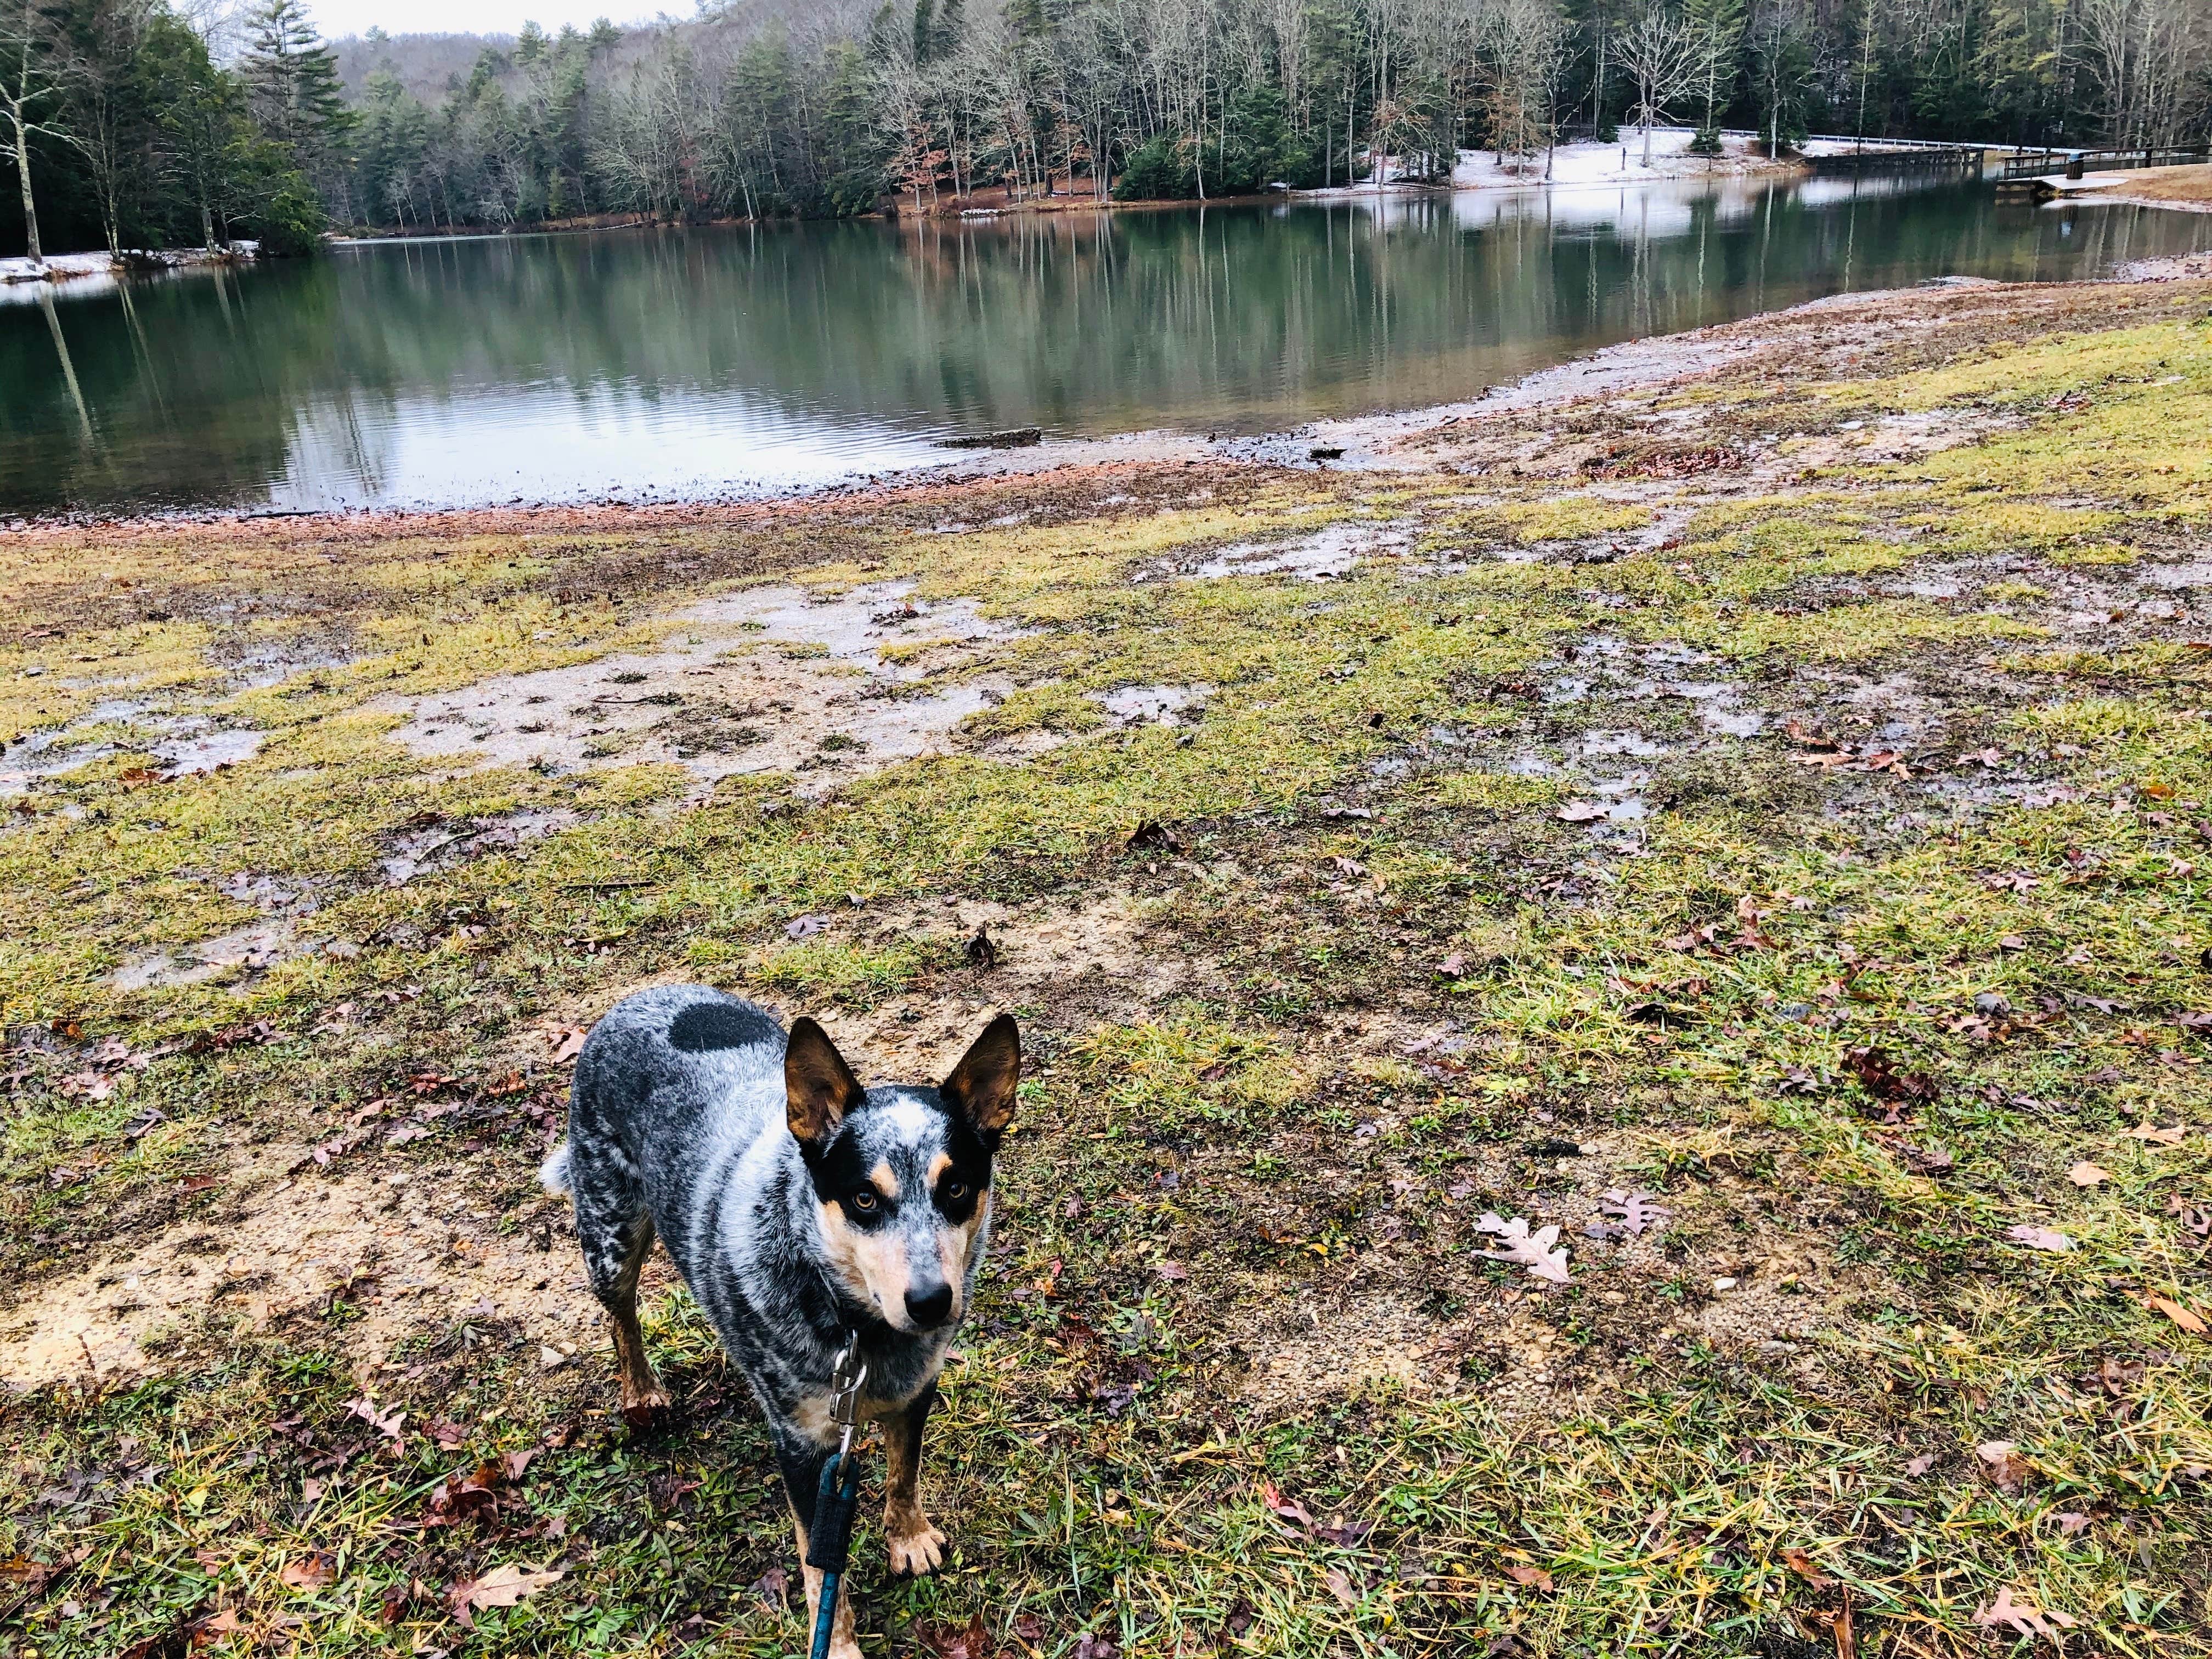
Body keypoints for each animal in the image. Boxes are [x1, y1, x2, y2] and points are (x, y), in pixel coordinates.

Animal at [539, 986, 1022, 1659]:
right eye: (864, 1198)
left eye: (955, 1187)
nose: (931, 1301)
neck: (855, 1327)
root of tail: (643, 994)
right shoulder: (802, 1446)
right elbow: (822, 1567)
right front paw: (838, 1645)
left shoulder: (916, 1391)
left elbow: (903, 1474)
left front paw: (908, 1537)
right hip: (609, 1231)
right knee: (621, 1314)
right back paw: (640, 1390)